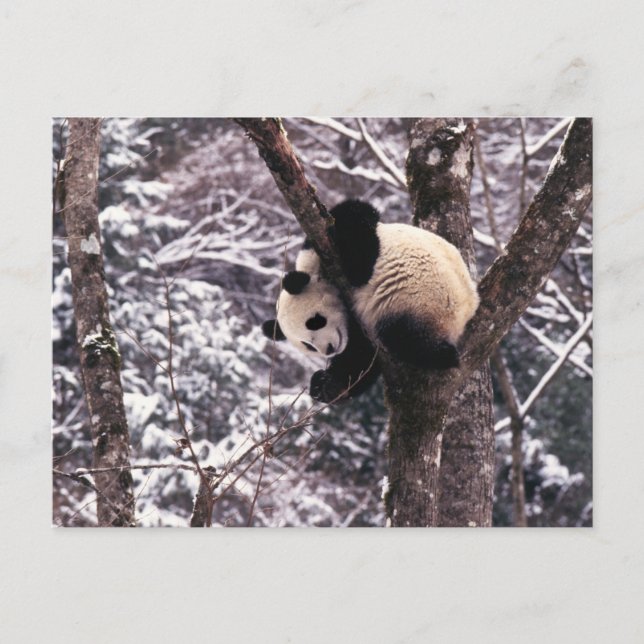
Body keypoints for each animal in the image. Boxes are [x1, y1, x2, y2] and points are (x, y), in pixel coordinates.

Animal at [261, 200, 479, 402]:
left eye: (315, 322)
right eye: (308, 345)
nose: (329, 349)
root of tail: (466, 312)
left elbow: (355, 222)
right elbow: (361, 357)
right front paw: (325, 385)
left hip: (421, 299)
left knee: (403, 337)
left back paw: (442, 354)